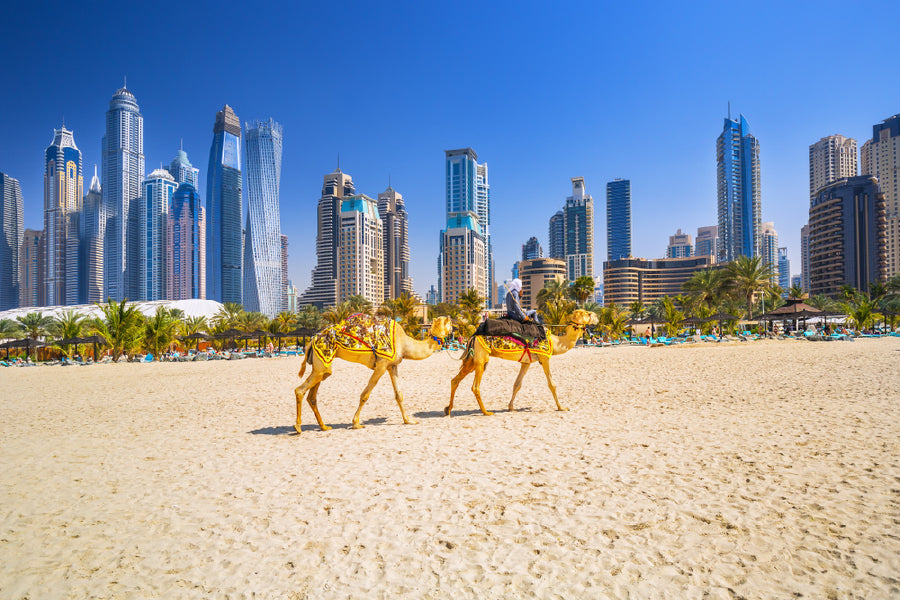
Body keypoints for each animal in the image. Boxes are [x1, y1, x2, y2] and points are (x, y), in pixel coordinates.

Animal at [294, 314, 454, 432]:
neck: (404, 343)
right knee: (299, 390)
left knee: (313, 395)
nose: (454, 327)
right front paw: (356, 423)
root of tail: (312, 339)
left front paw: (409, 420)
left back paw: (324, 426)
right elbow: (365, 394)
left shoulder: (392, 365)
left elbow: (399, 395)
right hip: (323, 360)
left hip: (322, 364)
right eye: (449, 323)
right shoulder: (381, 365)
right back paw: (298, 427)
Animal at [444, 310, 596, 418]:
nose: (596, 316)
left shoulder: (526, 362)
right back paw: (486, 412)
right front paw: (562, 407)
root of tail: (474, 335)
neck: (557, 341)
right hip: (481, 358)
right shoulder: (545, 358)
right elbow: (552, 384)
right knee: (475, 386)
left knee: (455, 380)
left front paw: (511, 407)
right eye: (588, 313)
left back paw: (448, 410)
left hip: (473, 360)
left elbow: (517, 384)